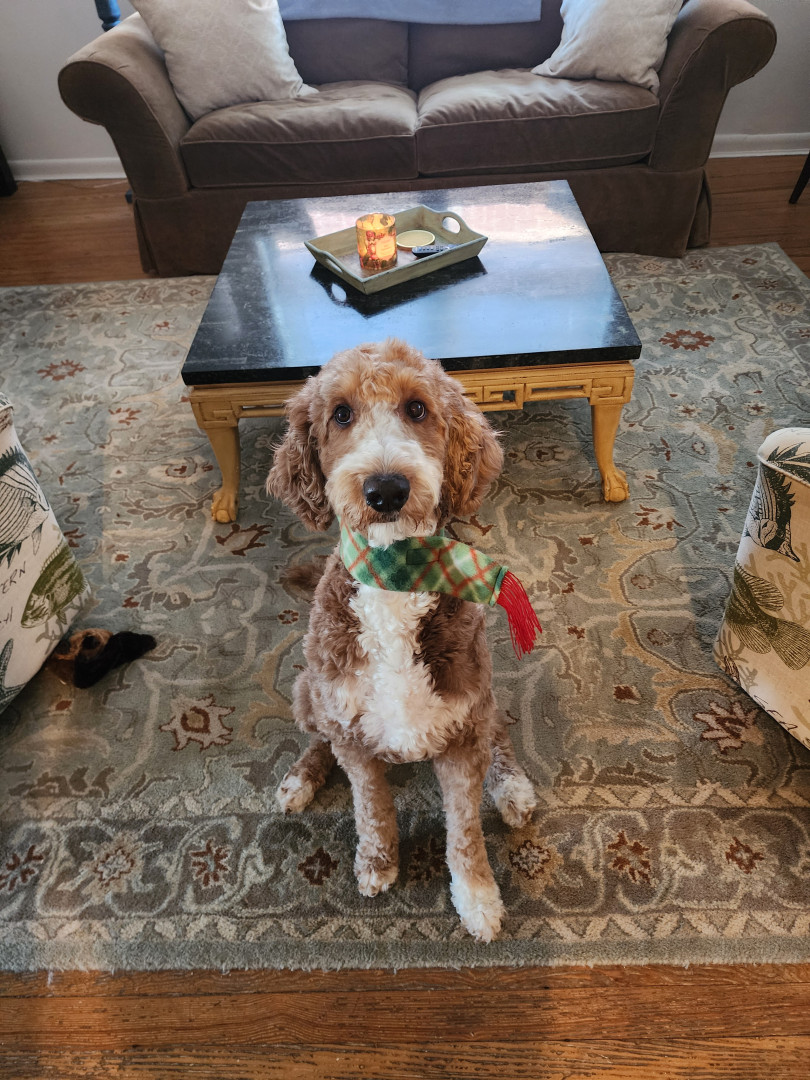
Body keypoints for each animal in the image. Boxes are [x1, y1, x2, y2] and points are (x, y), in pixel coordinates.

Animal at [266, 339, 537, 941]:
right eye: (341, 414)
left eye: (417, 408)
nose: (386, 489)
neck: (395, 576)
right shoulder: (349, 730)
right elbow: (372, 806)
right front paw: (377, 862)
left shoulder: (462, 727)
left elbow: (465, 831)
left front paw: (477, 897)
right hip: (307, 691)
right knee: (316, 738)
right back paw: (299, 780)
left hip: (483, 699)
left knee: (500, 733)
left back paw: (511, 786)